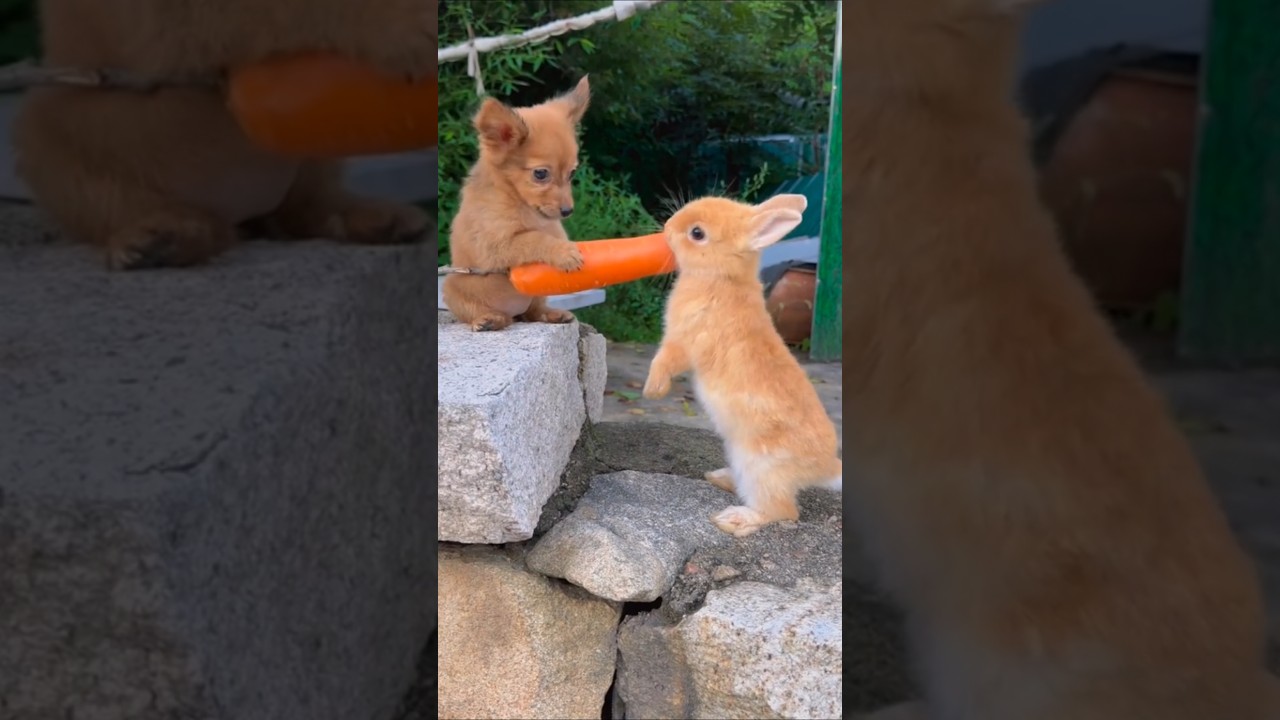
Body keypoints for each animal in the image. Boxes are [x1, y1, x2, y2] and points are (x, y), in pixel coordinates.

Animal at [643, 193, 842, 537]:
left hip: (761, 468)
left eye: (697, 233)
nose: (667, 228)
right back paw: (719, 478)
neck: (719, 277)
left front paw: (652, 391)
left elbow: (664, 361)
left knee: (784, 511)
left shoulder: (684, 342)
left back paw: (734, 519)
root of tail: (828, 468)